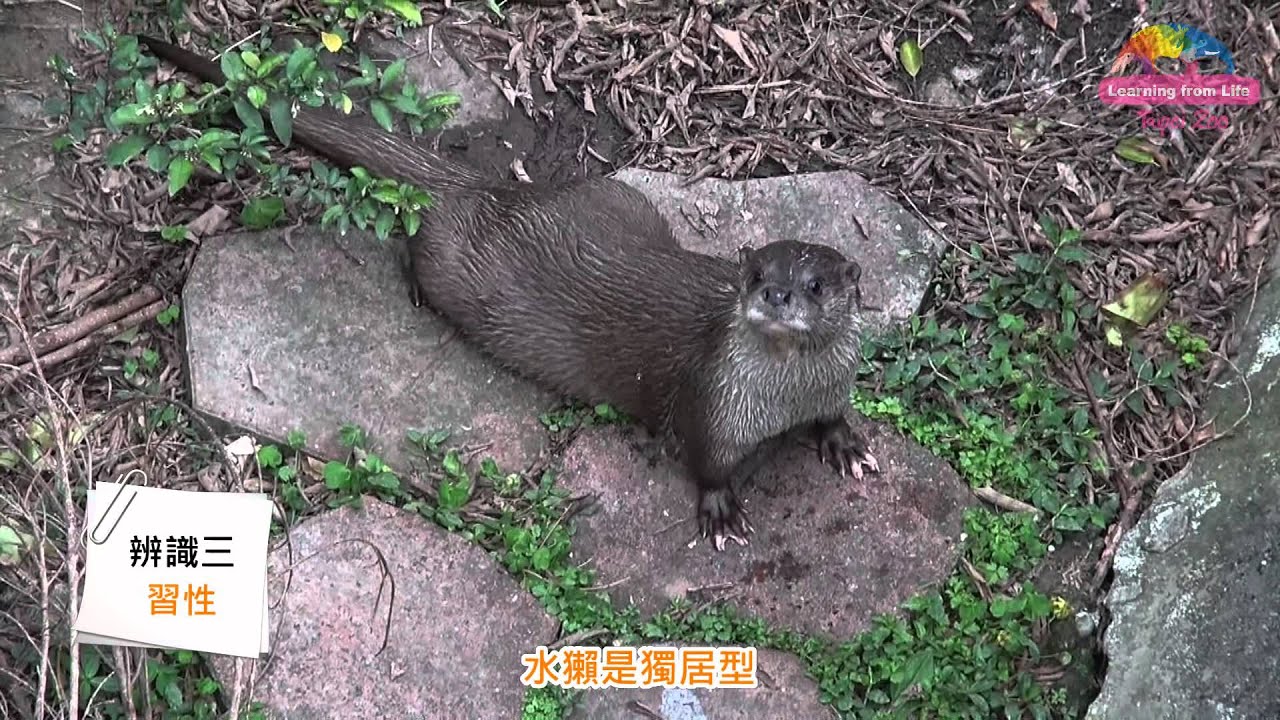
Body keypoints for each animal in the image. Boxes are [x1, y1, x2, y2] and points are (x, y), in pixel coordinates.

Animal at [138, 34, 879, 550]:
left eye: (813, 284)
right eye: (755, 277)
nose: (775, 296)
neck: (784, 399)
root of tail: (487, 189)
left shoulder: (827, 387)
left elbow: (834, 416)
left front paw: (847, 443)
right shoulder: (712, 401)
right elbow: (707, 462)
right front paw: (721, 510)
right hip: (454, 265)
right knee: (417, 246)